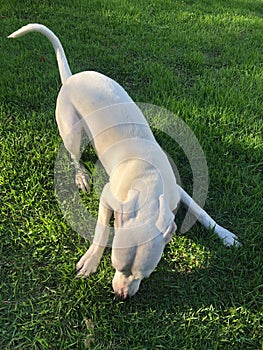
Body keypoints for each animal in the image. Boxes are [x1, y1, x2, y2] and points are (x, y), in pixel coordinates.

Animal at [8, 23, 241, 298]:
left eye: (144, 275)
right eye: (115, 266)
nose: (122, 295)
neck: (148, 180)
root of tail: (72, 78)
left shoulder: (178, 192)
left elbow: (201, 211)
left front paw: (224, 235)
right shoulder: (107, 197)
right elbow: (100, 228)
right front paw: (90, 260)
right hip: (72, 132)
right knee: (74, 155)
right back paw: (81, 176)